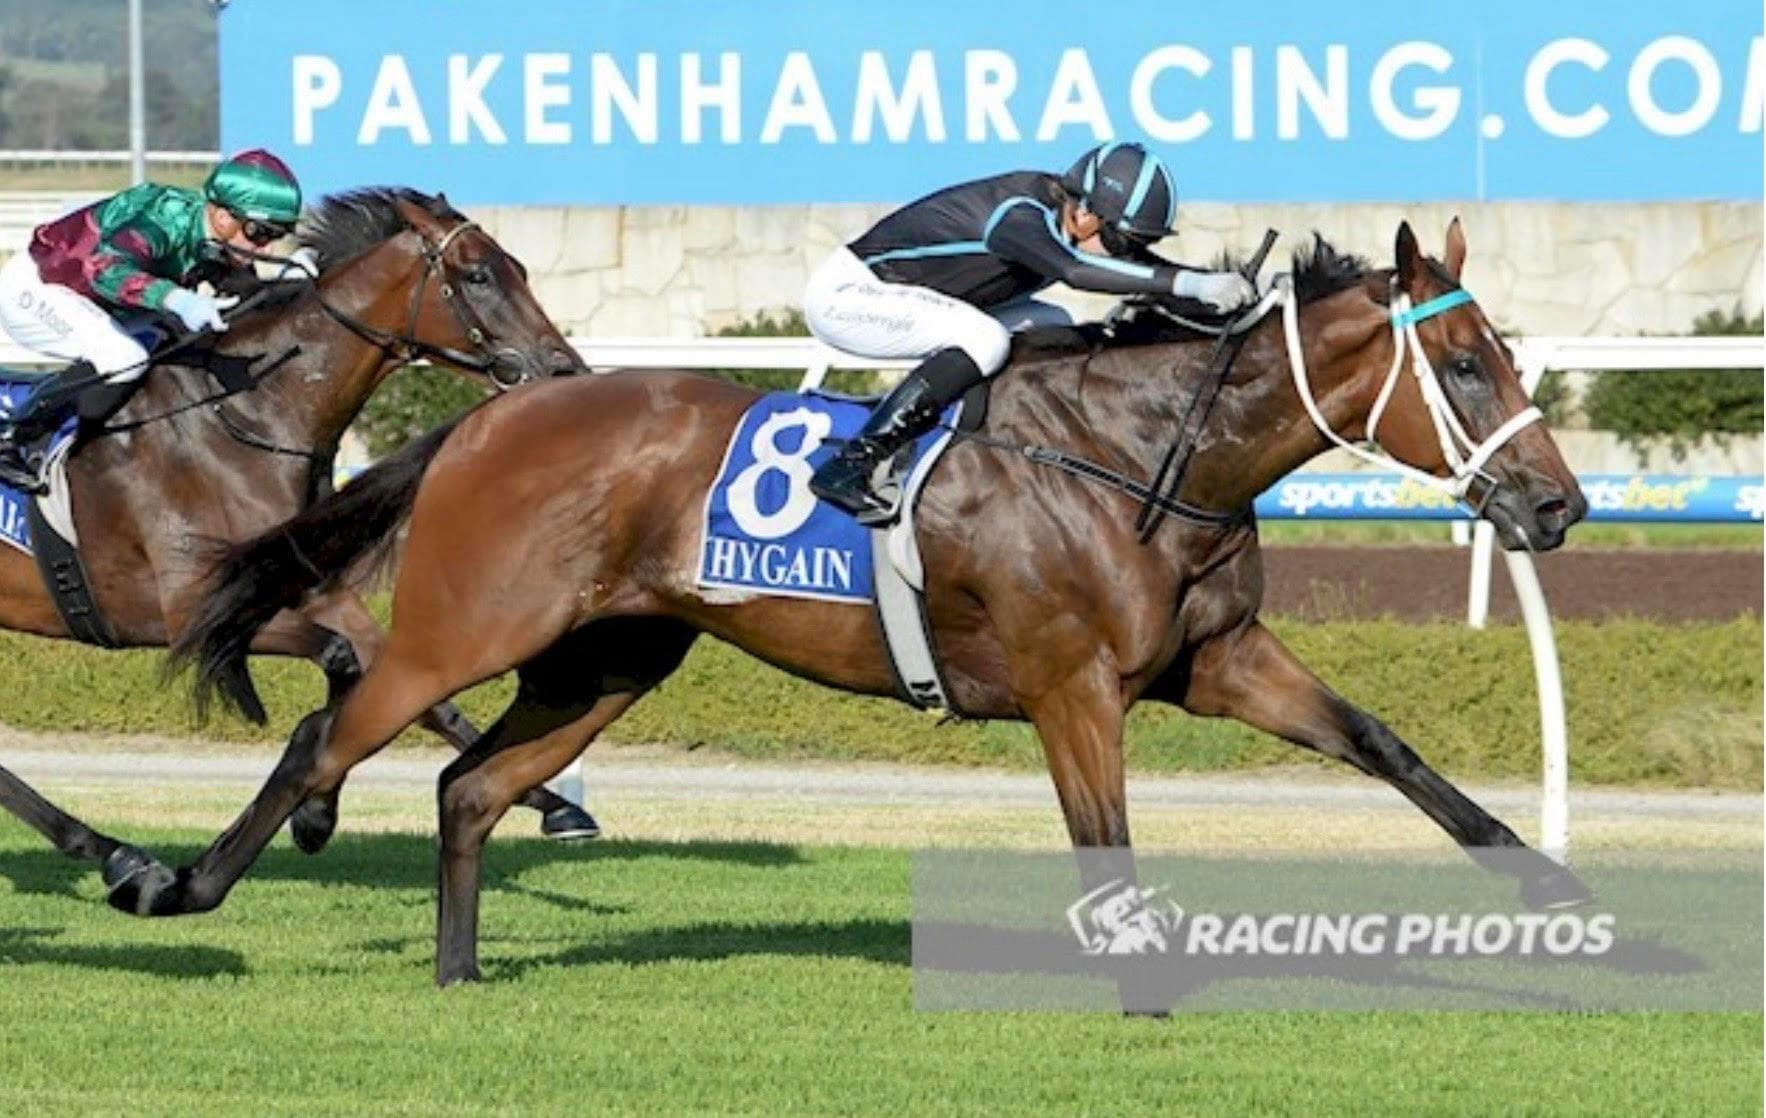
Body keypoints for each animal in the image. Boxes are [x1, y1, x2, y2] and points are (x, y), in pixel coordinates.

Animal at [0, 186, 599, 894]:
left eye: (521, 270)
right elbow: (343, 660)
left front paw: (557, 805)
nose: (565, 370)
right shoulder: (176, 613)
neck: (243, 417)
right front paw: (314, 812)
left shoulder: (310, 588)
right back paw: (113, 851)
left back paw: (107, 848)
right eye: (478, 274)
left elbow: (408, 684)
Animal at [161, 218, 1594, 985]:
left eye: (1502, 354)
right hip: (468, 627)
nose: (1556, 506)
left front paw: (1553, 891)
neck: (1135, 456)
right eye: (1465, 363)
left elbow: (1385, 746)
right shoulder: (1070, 686)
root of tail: (484, 416)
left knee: (469, 787)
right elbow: (1104, 834)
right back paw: (169, 883)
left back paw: (459, 969)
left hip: (608, 657)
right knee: (327, 733)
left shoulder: (1219, 657)